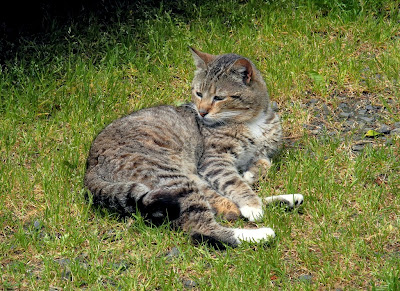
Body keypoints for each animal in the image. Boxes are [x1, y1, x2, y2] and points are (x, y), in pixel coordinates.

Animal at [84, 47, 304, 246]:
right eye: (198, 93)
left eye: (219, 97)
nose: (202, 112)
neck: (252, 121)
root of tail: (90, 167)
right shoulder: (214, 160)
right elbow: (234, 183)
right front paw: (251, 204)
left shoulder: (263, 152)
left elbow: (262, 164)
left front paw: (251, 175)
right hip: (173, 179)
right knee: (202, 228)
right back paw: (260, 233)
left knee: (221, 207)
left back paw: (288, 199)